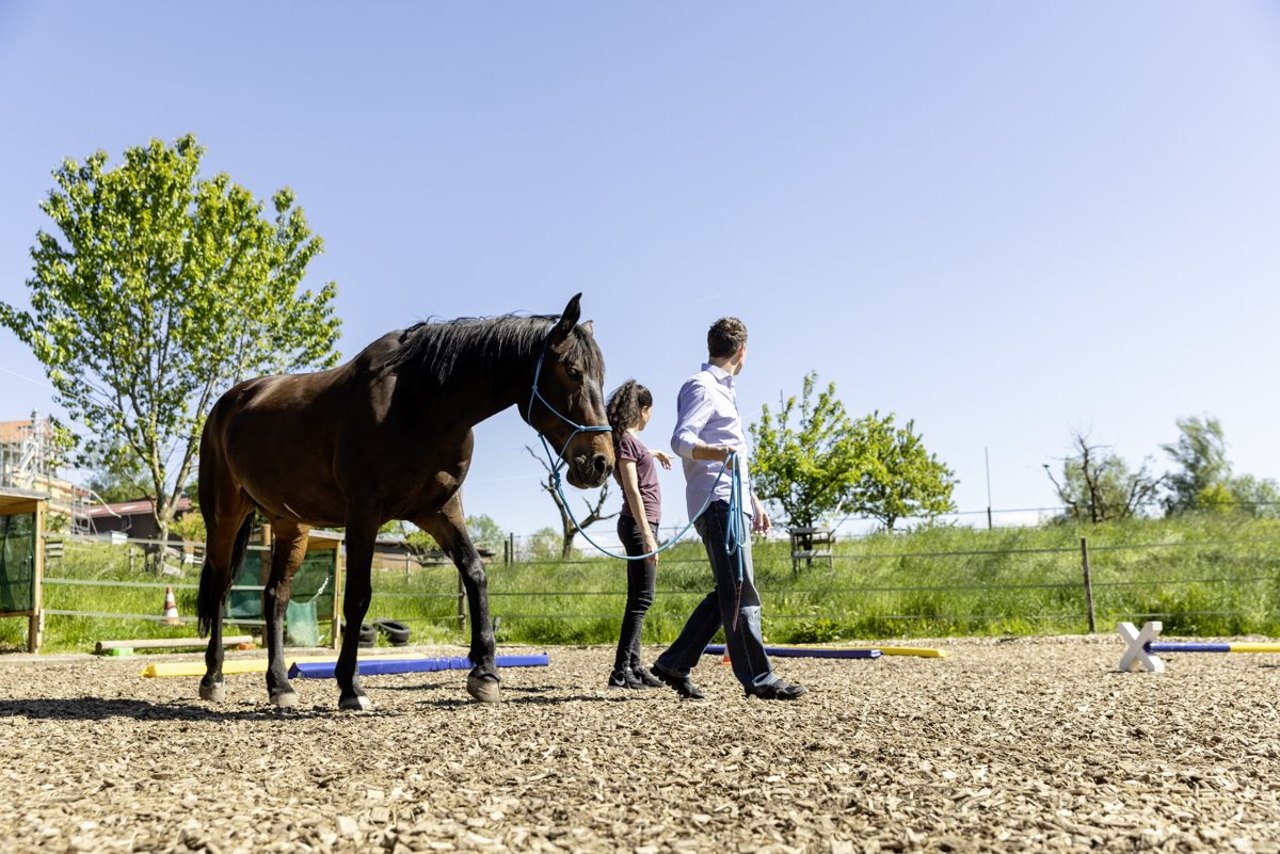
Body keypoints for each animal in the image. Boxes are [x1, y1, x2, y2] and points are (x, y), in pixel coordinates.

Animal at [195, 294, 613, 710]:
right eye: (572, 370)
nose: (601, 463)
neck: (418, 402)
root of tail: (228, 404)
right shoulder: (364, 512)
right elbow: (358, 596)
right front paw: (351, 687)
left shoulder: (440, 510)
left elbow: (475, 574)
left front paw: (485, 674)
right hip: (224, 516)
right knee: (219, 589)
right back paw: (213, 678)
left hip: (290, 524)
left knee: (275, 598)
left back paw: (280, 685)